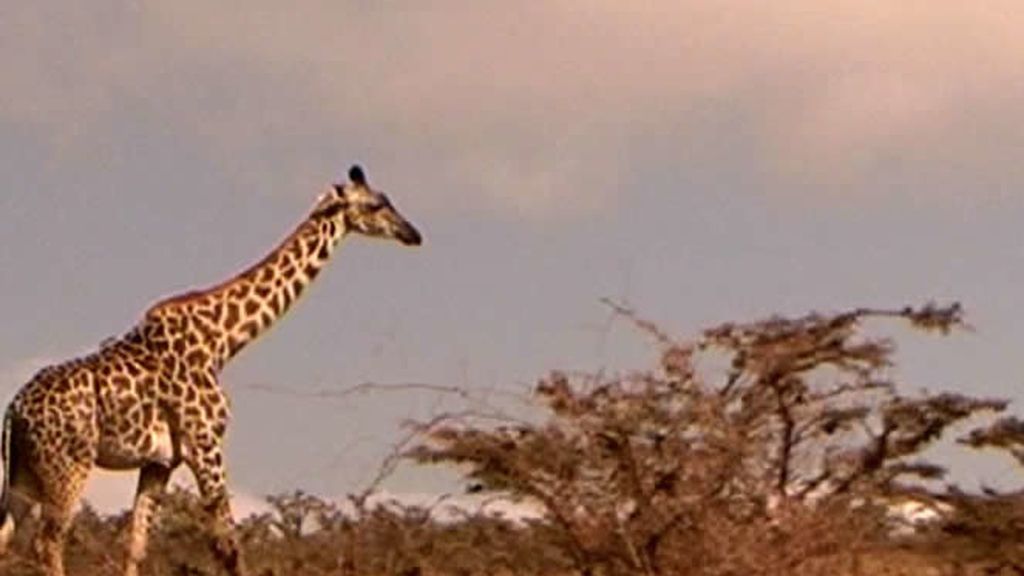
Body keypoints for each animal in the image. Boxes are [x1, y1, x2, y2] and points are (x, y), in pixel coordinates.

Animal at [0, 166, 421, 576]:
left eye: (387, 199)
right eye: (375, 205)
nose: (412, 234)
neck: (222, 340)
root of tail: (14, 411)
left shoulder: (160, 461)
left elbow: (136, 547)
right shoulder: (205, 443)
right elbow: (228, 547)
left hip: (25, 474)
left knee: (8, 538)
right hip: (68, 467)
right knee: (48, 542)